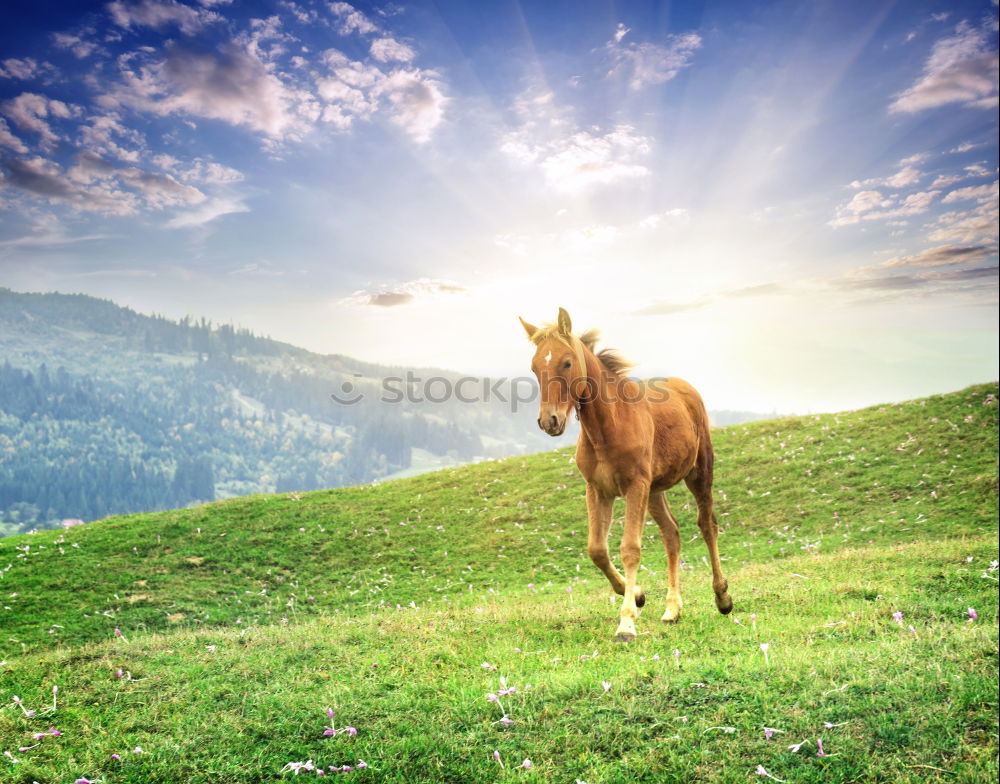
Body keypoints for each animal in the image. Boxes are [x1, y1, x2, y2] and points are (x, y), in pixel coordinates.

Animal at [520, 308, 732, 644]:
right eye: (534, 366)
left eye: (567, 362)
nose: (549, 421)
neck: (609, 427)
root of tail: (684, 387)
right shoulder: (598, 489)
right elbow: (597, 550)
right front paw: (637, 595)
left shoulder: (635, 486)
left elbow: (630, 549)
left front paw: (627, 623)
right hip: (655, 490)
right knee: (671, 533)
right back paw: (672, 609)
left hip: (698, 472)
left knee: (707, 524)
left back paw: (722, 597)